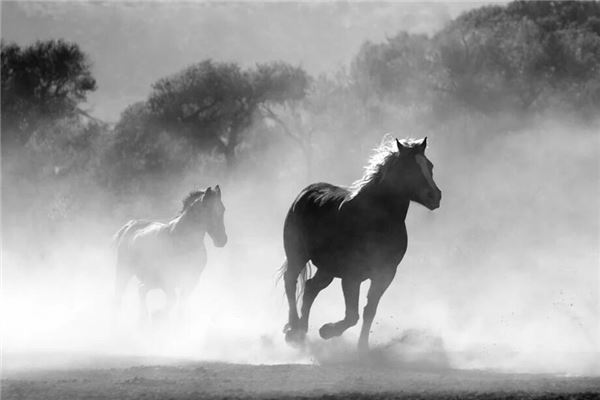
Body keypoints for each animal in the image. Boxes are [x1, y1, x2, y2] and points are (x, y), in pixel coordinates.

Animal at [113, 186, 226, 320]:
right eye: (208, 210)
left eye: (223, 209)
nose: (222, 240)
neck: (184, 242)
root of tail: (129, 225)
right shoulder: (167, 280)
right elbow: (173, 301)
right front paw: (158, 315)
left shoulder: (191, 280)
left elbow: (181, 305)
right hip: (124, 271)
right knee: (120, 295)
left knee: (141, 290)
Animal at [282, 139, 440, 352]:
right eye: (409, 168)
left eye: (429, 166)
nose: (435, 196)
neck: (375, 220)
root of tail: (306, 192)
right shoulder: (352, 276)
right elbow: (352, 316)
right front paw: (327, 331)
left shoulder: (385, 274)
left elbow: (369, 311)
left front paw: (362, 347)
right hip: (297, 255)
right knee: (290, 281)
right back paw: (293, 329)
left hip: (327, 269)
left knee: (310, 288)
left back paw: (301, 331)